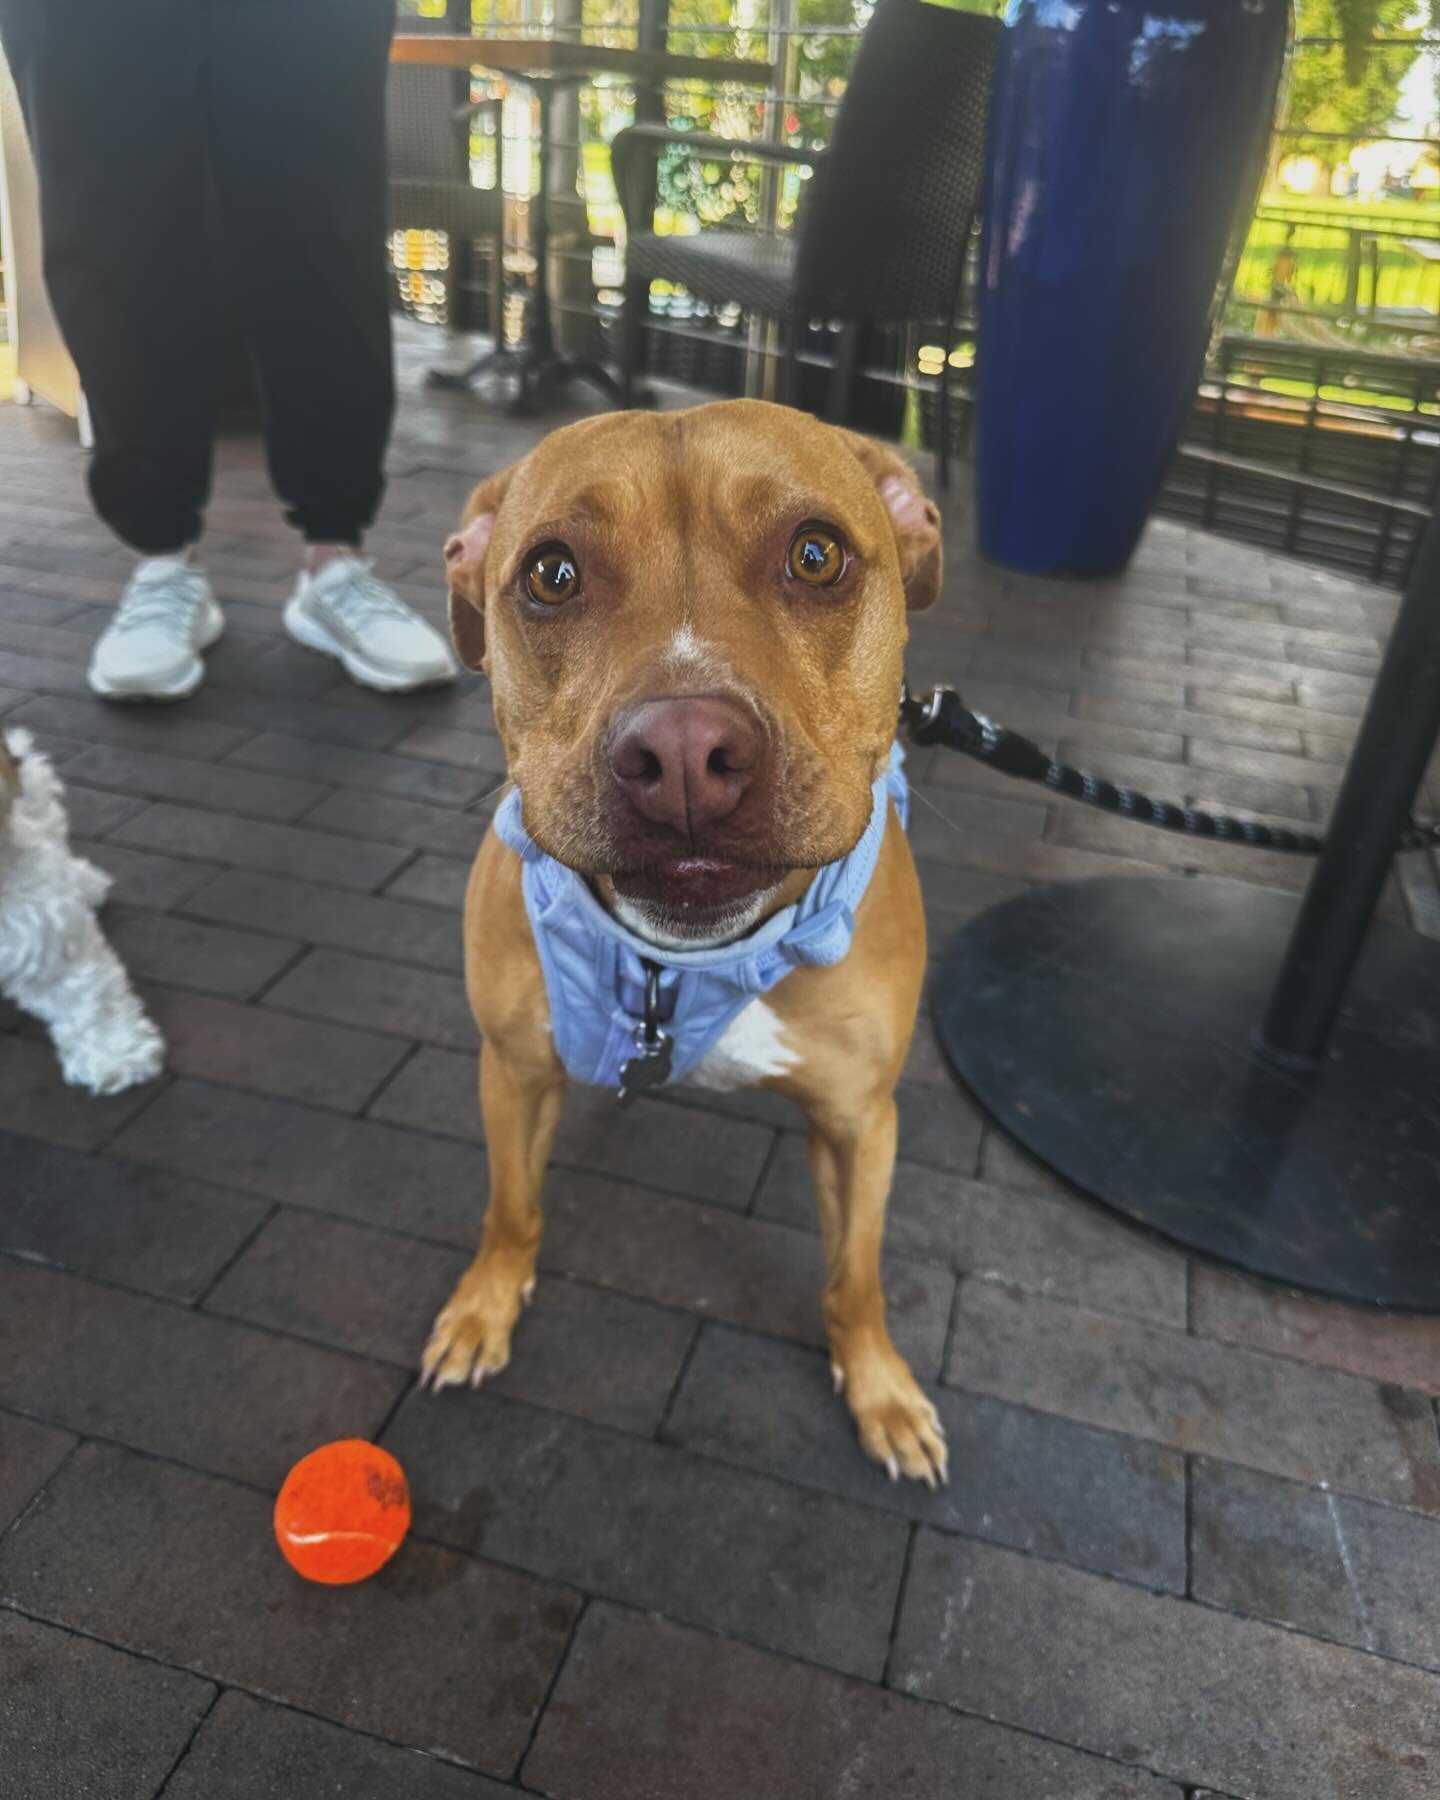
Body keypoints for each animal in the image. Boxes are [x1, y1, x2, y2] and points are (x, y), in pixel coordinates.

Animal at [428, 401, 943, 1483]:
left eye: (817, 555)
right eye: (552, 574)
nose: (683, 755)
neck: (688, 960)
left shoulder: (859, 1123)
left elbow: (856, 1277)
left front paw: (880, 1390)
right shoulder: (513, 1071)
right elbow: (512, 1207)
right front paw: (485, 1308)